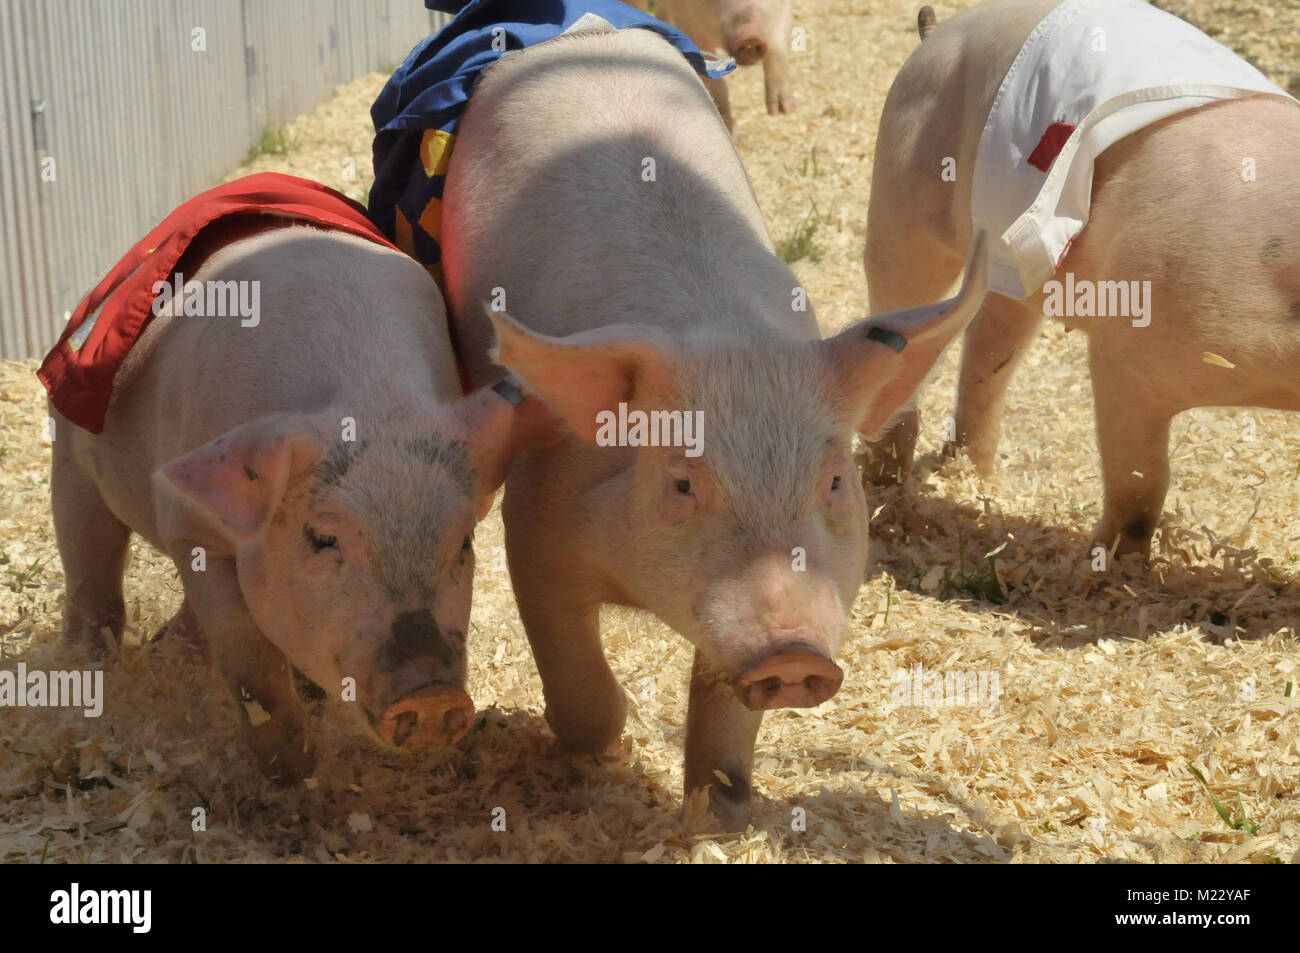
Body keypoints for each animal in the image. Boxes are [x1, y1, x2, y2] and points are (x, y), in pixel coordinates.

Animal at [51, 226, 519, 780]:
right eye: (322, 537)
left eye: (464, 541)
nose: (432, 694)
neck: (369, 397)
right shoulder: (188, 524)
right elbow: (245, 648)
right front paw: (293, 769)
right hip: (71, 445)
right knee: (88, 560)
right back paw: (82, 668)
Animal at [435, 26, 988, 828]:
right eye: (683, 483)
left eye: (834, 482)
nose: (795, 655)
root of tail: (586, 32)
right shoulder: (536, 520)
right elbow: (573, 674)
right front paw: (608, 741)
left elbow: (726, 712)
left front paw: (721, 811)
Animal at [629, 0, 796, 129]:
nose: (750, 38)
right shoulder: (686, 18)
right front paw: (726, 124)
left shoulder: (786, 8)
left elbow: (778, 46)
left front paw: (782, 111)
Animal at [863, 0, 1300, 557]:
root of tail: (937, 33)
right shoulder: (1132, 349)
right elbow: (1140, 482)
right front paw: (1115, 561)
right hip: (903, 177)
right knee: (901, 303)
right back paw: (883, 488)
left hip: (1011, 259)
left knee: (988, 349)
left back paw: (975, 481)